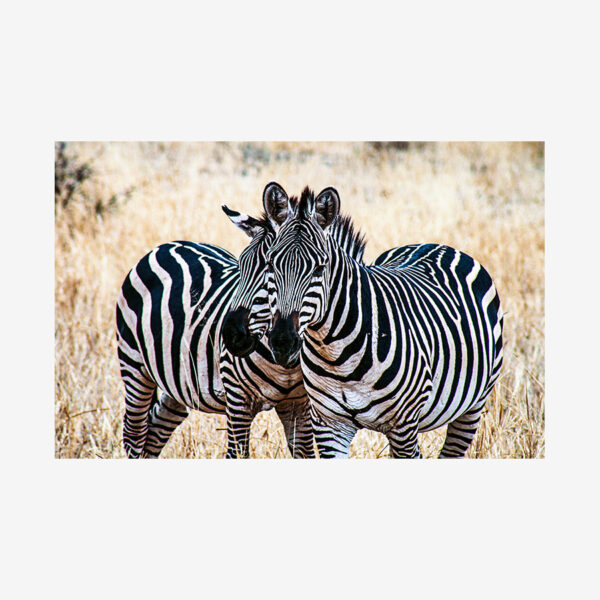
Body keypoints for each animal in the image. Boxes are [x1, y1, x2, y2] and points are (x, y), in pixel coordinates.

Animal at [115, 199, 316, 458]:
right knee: (134, 433)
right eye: (241, 267)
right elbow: (237, 453)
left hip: (179, 383)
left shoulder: (299, 403)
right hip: (134, 366)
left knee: (155, 430)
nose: (230, 335)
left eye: (271, 270)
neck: (285, 365)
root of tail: (166, 246)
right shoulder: (237, 399)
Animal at [260, 185, 504, 458]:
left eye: (320, 268)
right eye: (269, 264)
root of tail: (436, 245)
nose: (283, 342)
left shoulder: (403, 426)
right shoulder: (329, 424)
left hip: (474, 405)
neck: (336, 355)